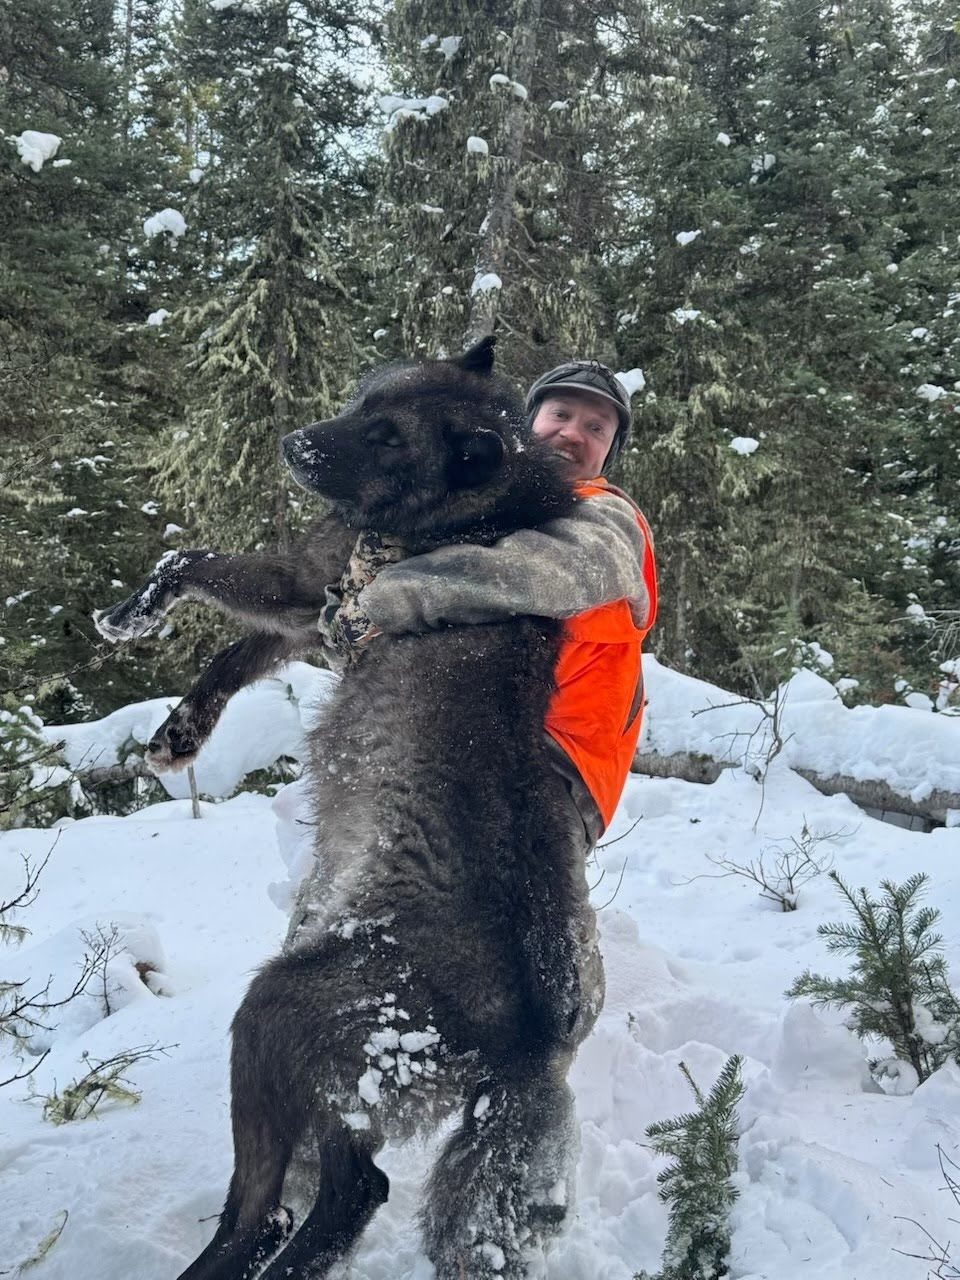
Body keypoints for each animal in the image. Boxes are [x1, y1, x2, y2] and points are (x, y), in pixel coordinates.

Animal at [95, 337, 603, 1279]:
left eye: (391, 438)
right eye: (369, 399)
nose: (294, 443)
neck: (472, 513)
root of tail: (529, 1043)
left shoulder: (306, 581)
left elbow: (190, 562)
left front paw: (129, 615)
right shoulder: (314, 611)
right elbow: (234, 655)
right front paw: (182, 731)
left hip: (280, 1017)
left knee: (309, 1198)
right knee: (337, 1193)